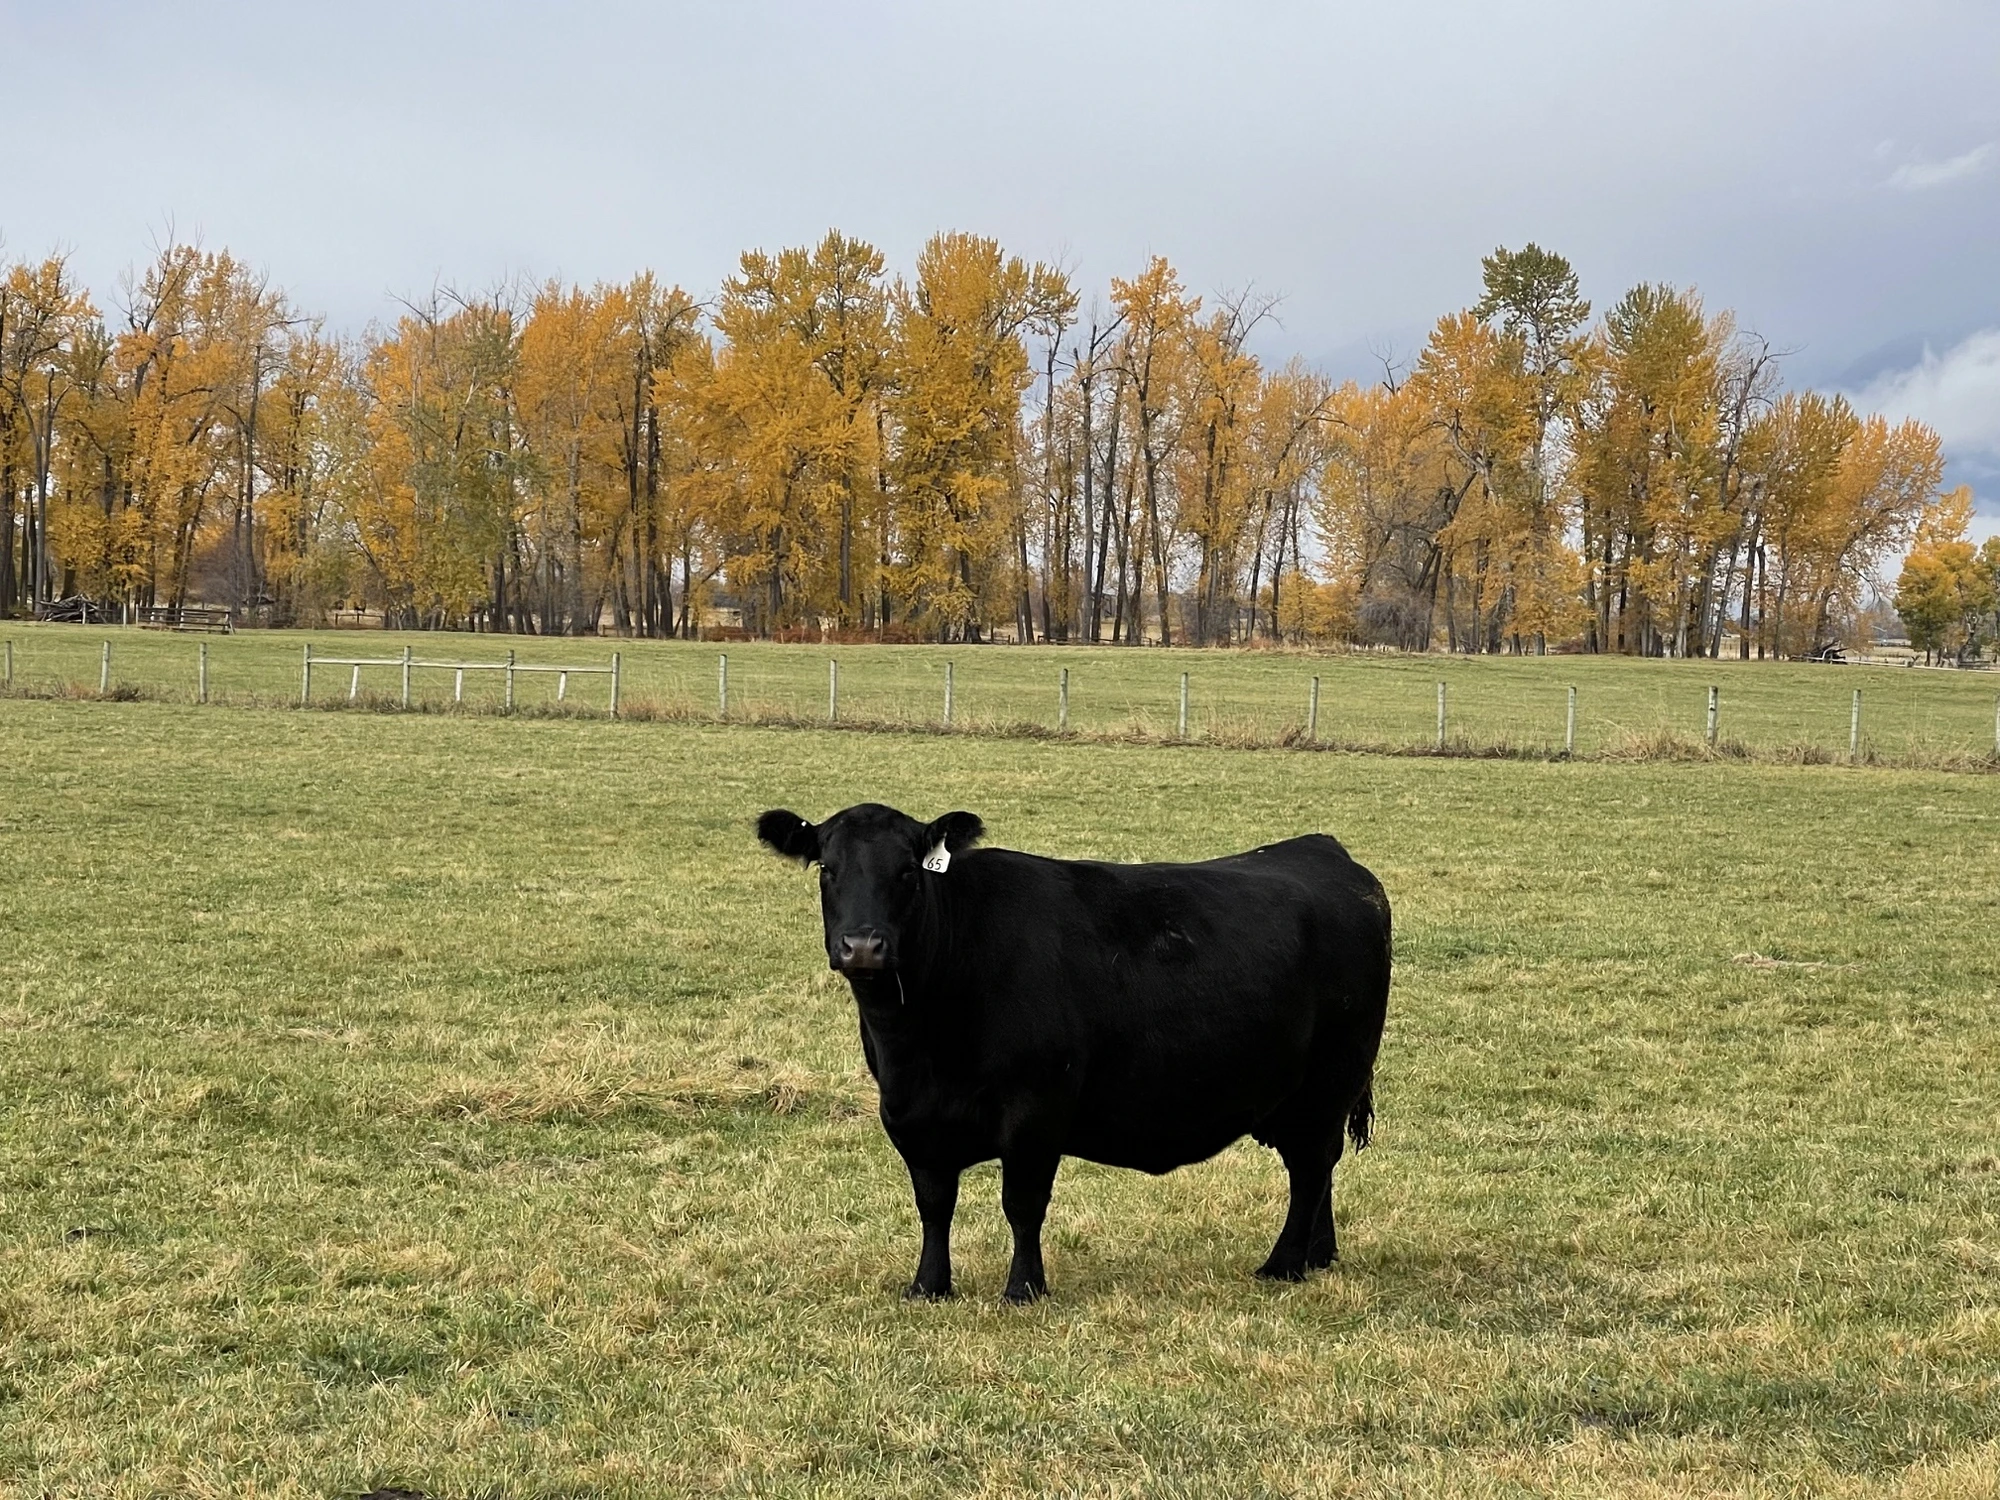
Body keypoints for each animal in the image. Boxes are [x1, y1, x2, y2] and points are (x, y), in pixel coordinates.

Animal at [755, 801, 1391, 1302]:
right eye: (827, 868)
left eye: (908, 870)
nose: (863, 945)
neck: (919, 1043)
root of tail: (1323, 850)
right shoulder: (911, 1115)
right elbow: (934, 1204)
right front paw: (928, 1286)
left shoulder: (1037, 1109)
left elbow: (1022, 1203)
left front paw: (1023, 1288)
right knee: (1319, 1169)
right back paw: (1318, 1255)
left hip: (1329, 1080)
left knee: (1311, 1167)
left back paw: (1283, 1265)